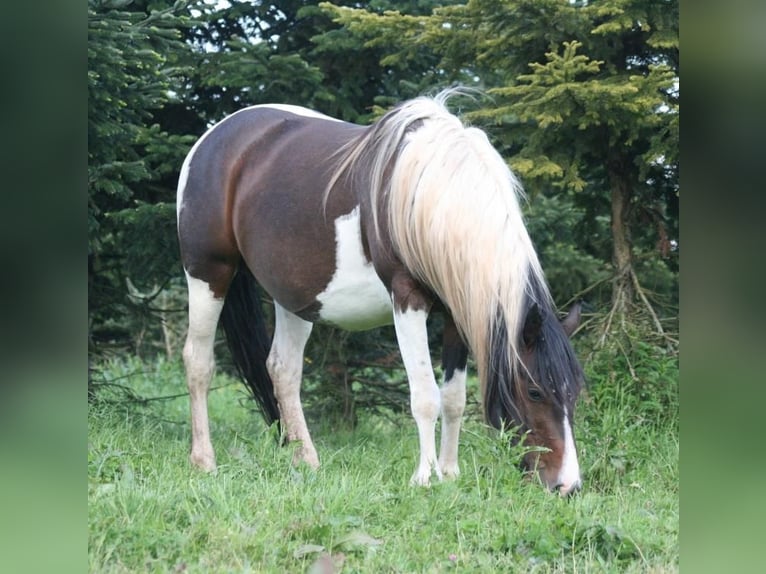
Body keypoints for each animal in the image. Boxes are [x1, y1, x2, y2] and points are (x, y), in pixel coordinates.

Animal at [178, 90, 588, 496]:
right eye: (534, 391)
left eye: (574, 392)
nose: (568, 485)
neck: (433, 198)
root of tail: (212, 138)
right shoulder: (407, 300)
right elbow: (425, 396)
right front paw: (424, 477)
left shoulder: (457, 312)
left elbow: (453, 399)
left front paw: (450, 473)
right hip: (208, 274)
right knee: (198, 362)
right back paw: (203, 461)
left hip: (293, 295)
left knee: (283, 369)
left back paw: (306, 460)